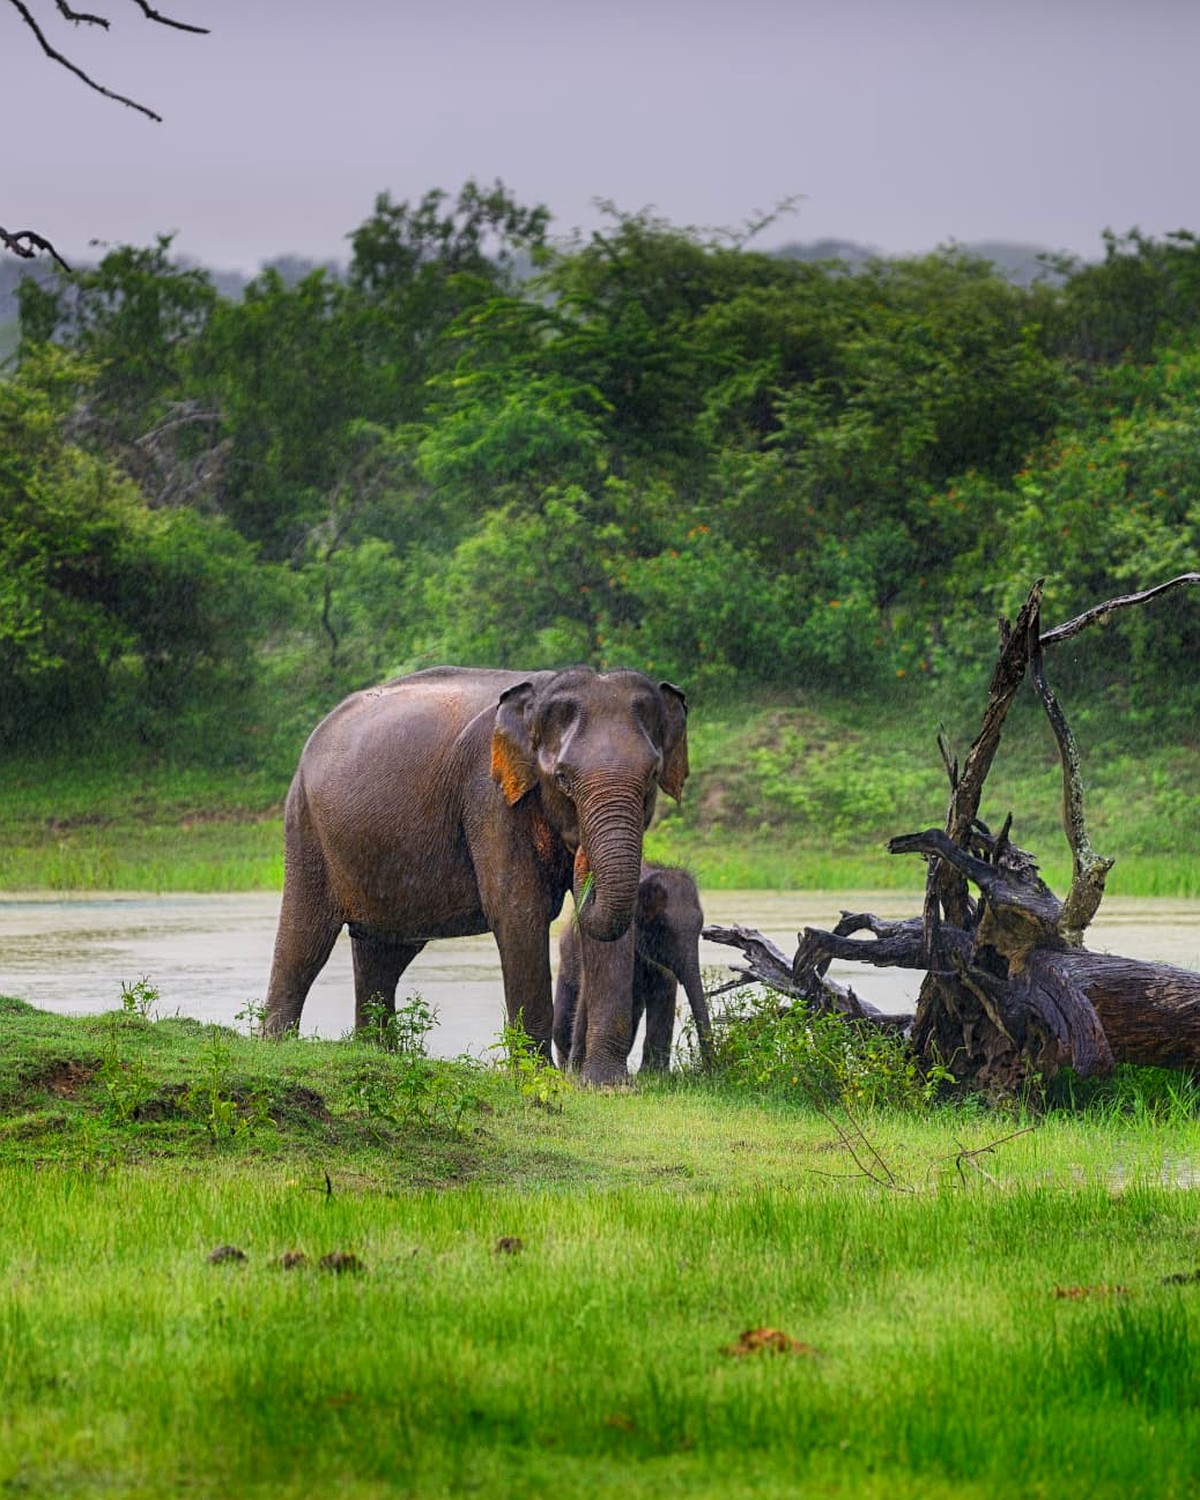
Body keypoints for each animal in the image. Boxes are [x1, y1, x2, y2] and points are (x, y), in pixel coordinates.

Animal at [263, 665, 688, 1086]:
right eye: (563, 778)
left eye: (651, 775)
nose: (581, 860)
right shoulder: (489, 794)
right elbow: (518, 910)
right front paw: (539, 1079)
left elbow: (617, 928)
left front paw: (607, 1087)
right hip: (305, 823)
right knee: (306, 938)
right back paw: (278, 1045)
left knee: (383, 953)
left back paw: (377, 1053)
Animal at [554, 863, 714, 1073]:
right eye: (660, 928)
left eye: (700, 927)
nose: (710, 1068)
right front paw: (576, 1073)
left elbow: (664, 990)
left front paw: (654, 1074)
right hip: (566, 958)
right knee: (561, 1026)